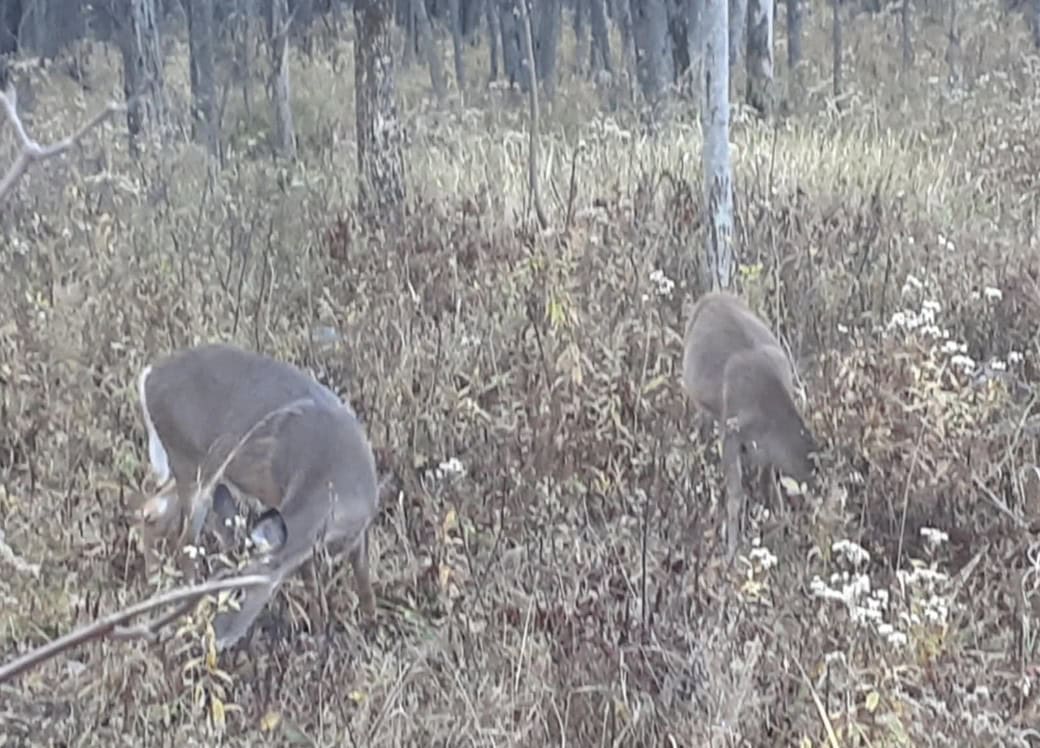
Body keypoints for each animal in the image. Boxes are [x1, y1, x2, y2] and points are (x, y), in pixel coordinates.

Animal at [136, 343, 380, 649]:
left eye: (240, 592)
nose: (215, 638)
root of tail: (147, 377)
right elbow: (309, 578)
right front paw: (319, 630)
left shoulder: (355, 531)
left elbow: (360, 577)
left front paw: (369, 626)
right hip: (190, 466)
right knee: (184, 544)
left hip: (200, 473)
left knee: (151, 511)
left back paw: (153, 584)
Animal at [682, 289, 819, 557]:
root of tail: (711, 295)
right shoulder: (731, 430)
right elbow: (736, 496)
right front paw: (731, 553)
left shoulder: (765, 451)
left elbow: (770, 486)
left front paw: (780, 528)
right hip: (704, 405)